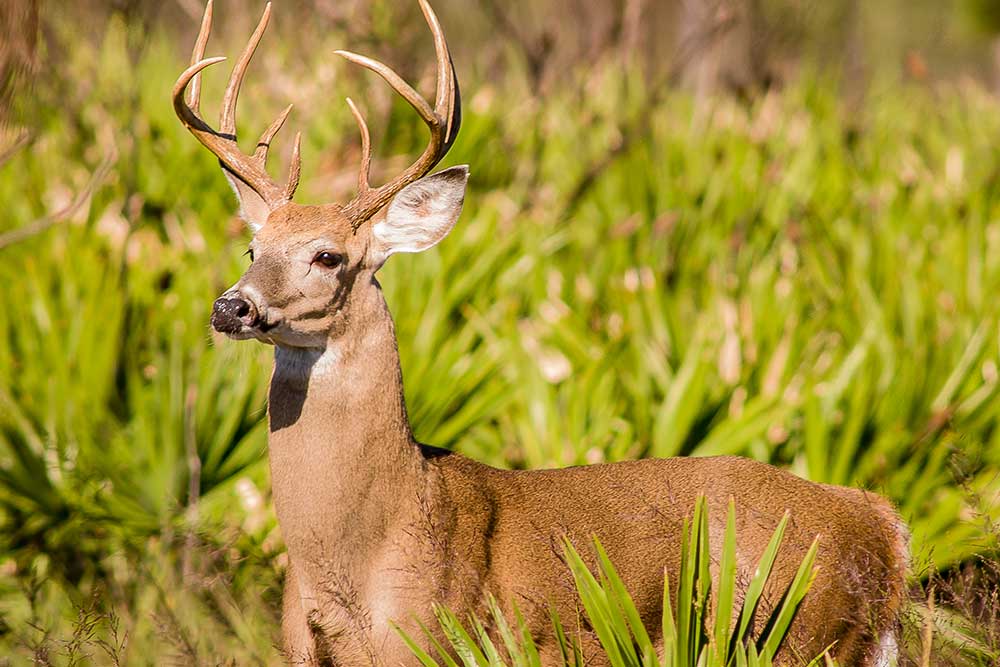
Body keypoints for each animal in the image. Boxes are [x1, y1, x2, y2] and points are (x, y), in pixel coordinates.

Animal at [174, 2, 916, 664]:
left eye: (328, 255)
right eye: (252, 248)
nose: (231, 307)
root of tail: (885, 524)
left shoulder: (434, 642)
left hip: (801, 631)